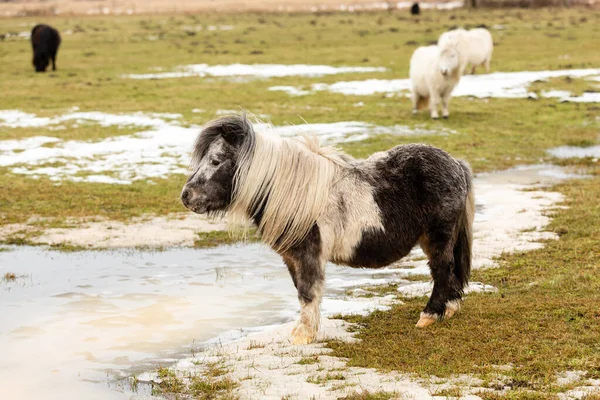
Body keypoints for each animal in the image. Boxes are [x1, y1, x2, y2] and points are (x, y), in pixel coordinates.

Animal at [182, 114, 474, 346]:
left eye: (216, 160)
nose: (186, 196)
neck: (293, 193)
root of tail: (456, 164)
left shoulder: (308, 256)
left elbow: (308, 292)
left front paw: (304, 337)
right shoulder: (292, 259)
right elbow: (302, 292)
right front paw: (301, 330)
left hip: (438, 237)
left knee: (442, 270)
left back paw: (429, 316)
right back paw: (449, 309)